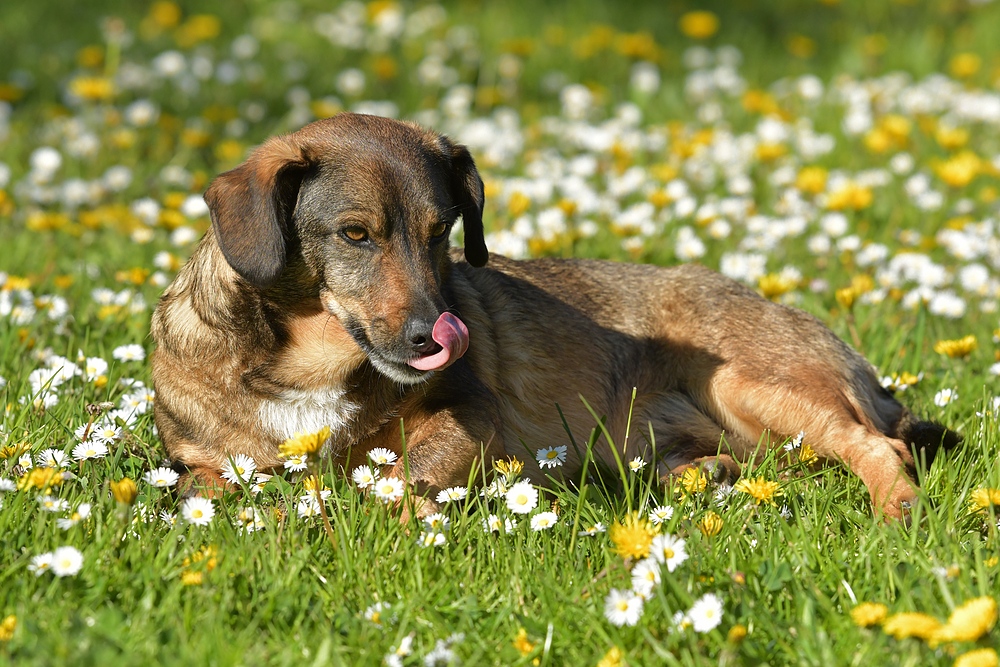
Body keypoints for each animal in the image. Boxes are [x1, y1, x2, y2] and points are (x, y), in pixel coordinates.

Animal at [150, 112, 960, 520]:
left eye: (442, 231)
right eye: (354, 234)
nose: (437, 339)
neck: (307, 363)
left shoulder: (469, 418)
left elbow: (398, 478)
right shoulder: (199, 461)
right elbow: (204, 487)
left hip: (751, 384)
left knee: (880, 447)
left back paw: (897, 508)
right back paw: (706, 475)